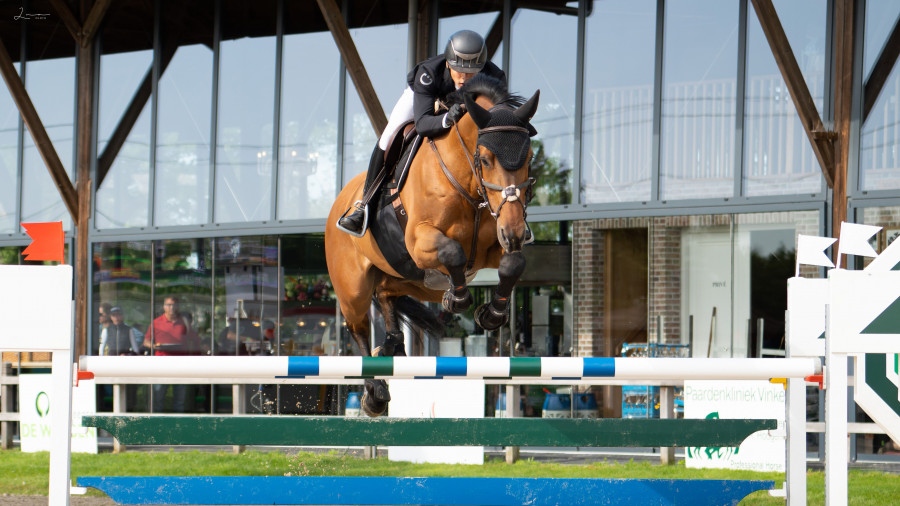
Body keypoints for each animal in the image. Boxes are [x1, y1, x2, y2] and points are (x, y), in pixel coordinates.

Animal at [326, 74, 536, 416]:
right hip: (353, 287)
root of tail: (339, 203)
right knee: (357, 327)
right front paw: (457, 299)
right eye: (486, 159)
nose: (515, 232)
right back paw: (374, 392)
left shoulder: (491, 247)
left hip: (410, 279)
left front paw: (491, 314)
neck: (466, 180)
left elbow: (513, 263)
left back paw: (392, 346)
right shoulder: (419, 241)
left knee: (386, 294)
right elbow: (452, 251)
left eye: (529, 159)